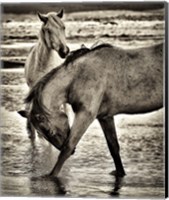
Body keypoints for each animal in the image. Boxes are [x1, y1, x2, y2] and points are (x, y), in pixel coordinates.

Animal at [19, 43, 163, 192]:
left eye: (49, 131)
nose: (74, 153)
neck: (78, 77)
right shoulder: (105, 117)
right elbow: (114, 148)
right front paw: (120, 173)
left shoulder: (86, 114)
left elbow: (67, 148)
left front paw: (50, 176)